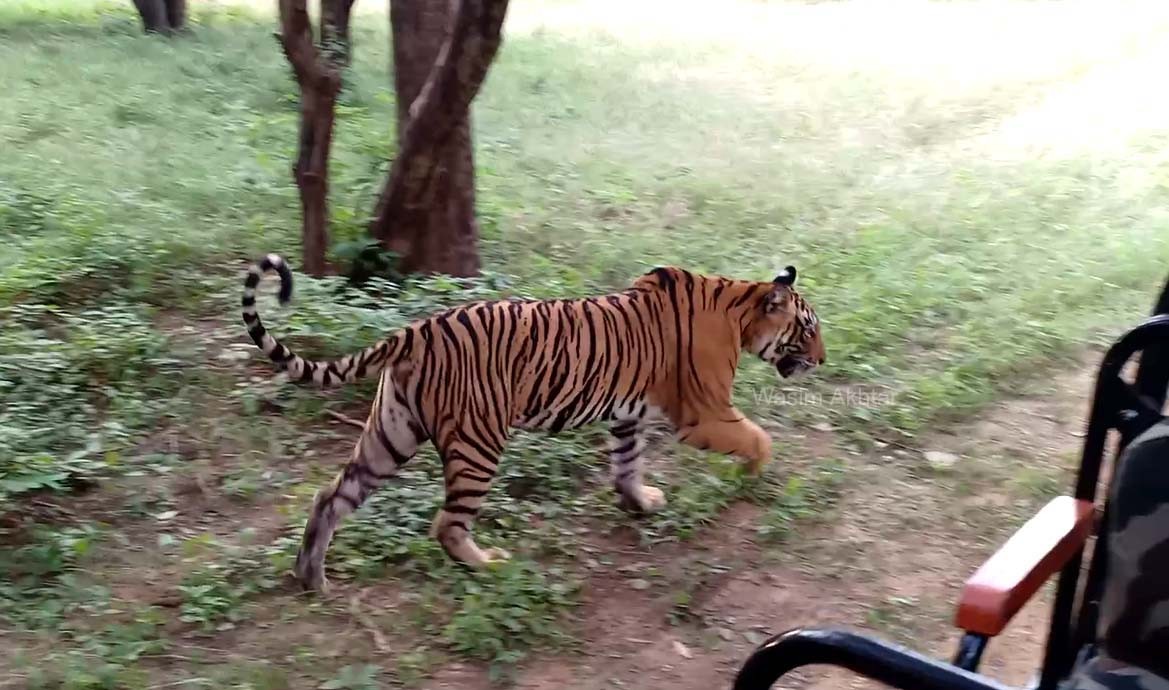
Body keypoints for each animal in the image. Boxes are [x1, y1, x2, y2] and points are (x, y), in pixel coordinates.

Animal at [239, 257, 822, 591]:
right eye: (807, 328)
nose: (823, 358)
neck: (739, 308)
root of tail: (417, 329)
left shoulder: (627, 414)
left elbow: (627, 464)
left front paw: (639, 502)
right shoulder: (704, 414)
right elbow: (760, 437)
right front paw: (755, 476)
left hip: (391, 433)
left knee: (331, 496)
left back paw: (311, 576)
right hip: (477, 443)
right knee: (446, 524)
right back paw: (488, 564)